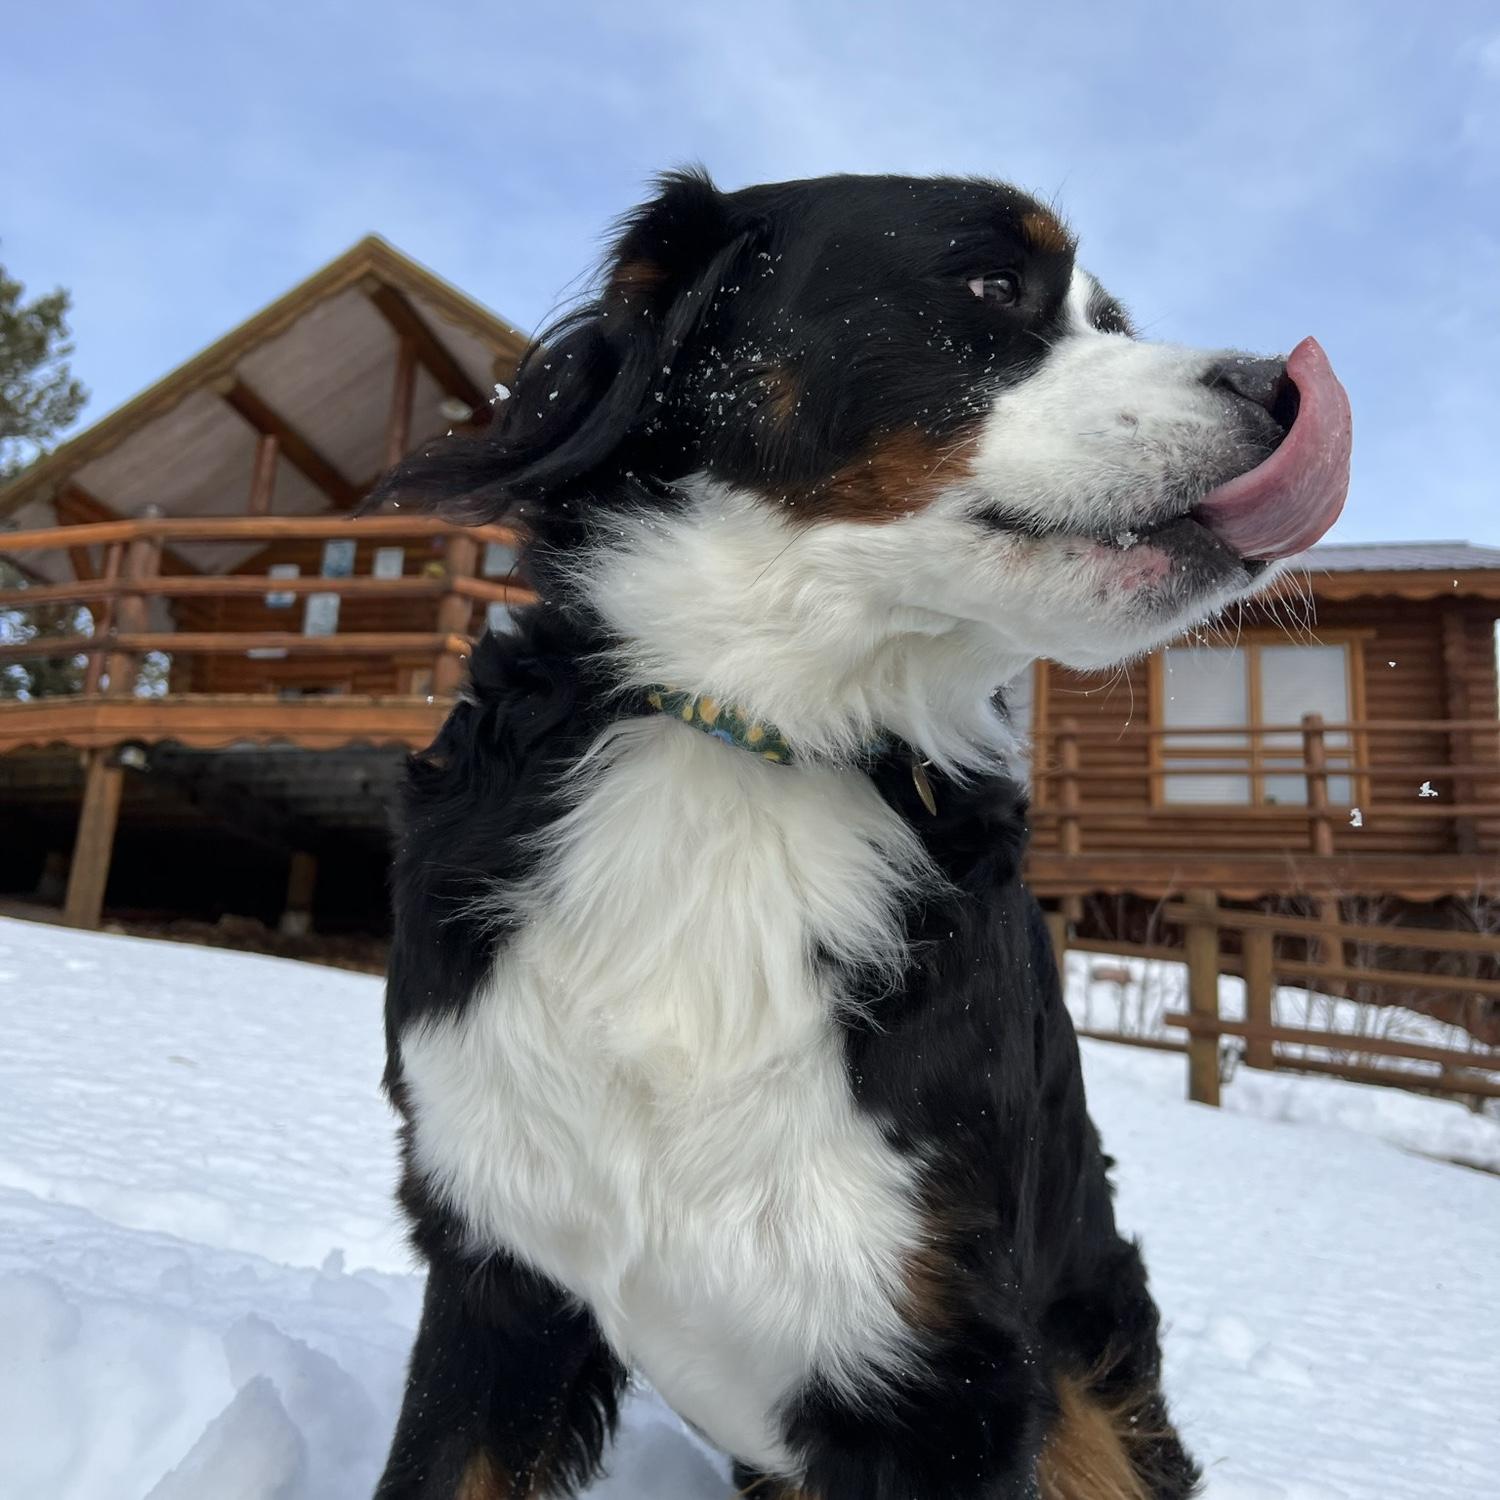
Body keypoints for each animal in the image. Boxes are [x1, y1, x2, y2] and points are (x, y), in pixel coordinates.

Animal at [369, 169, 1351, 1500]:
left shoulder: (944, 1370)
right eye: (991, 282)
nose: (1282, 386)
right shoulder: (496, 1283)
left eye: (1110, 321)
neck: (755, 746)